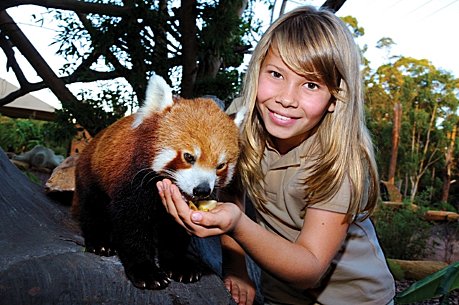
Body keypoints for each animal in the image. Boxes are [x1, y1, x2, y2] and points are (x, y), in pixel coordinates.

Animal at [73, 74, 244, 290]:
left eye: (220, 165)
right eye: (189, 157)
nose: (202, 190)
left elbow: (173, 231)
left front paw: (178, 265)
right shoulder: (132, 181)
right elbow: (132, 225)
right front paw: (145, 270)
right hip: (91, 174)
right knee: (92, 207)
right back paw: (99, 242)